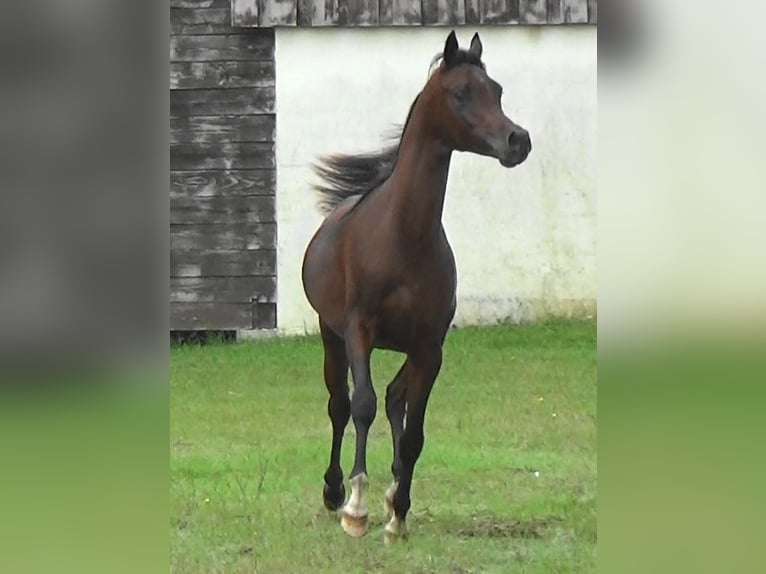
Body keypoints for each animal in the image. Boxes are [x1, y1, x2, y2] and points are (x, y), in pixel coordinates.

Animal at [302, 31, 536, 544]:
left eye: (498, 91)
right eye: (461, 93)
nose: (518, 140)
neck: (404, 236)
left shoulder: (430, 345)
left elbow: (414, 432)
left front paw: (399, 513)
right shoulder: (359, 331)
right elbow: (363, 405)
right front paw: (356, 508)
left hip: (405, 348)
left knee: (395, 400)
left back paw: (391, 494)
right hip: (330, 337)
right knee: (340, 405)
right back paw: (333, 491)